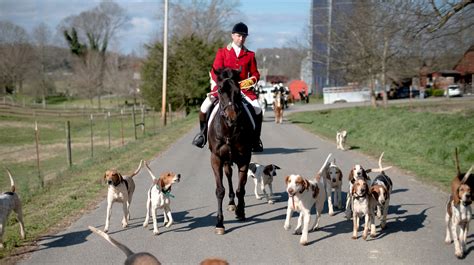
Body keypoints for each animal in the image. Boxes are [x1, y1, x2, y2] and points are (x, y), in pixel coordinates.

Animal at [208, 66, 256, 233]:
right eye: (220, 89)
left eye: (238, 90)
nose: (232, 118)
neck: (229, 130)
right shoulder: (216, 158)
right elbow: (219, 190)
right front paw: (219, 223)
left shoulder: (245, 158)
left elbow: (241, 188)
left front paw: (240, 211)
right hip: (226, 160)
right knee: (228, 175)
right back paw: (230, 202)